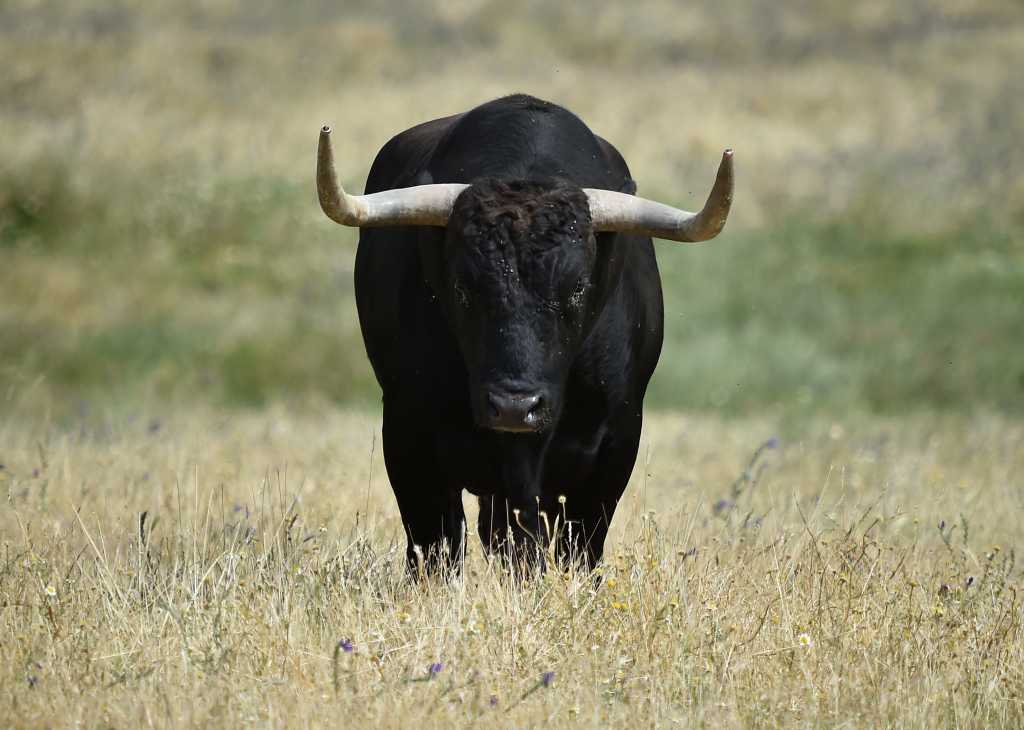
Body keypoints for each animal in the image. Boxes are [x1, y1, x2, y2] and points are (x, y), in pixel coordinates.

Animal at [315, 94, 733, 573]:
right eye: (462, 287)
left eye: (577, 288)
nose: (515, 408)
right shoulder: (407, 430)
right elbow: (436, 544)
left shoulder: (617, 439)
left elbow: (578, 547)